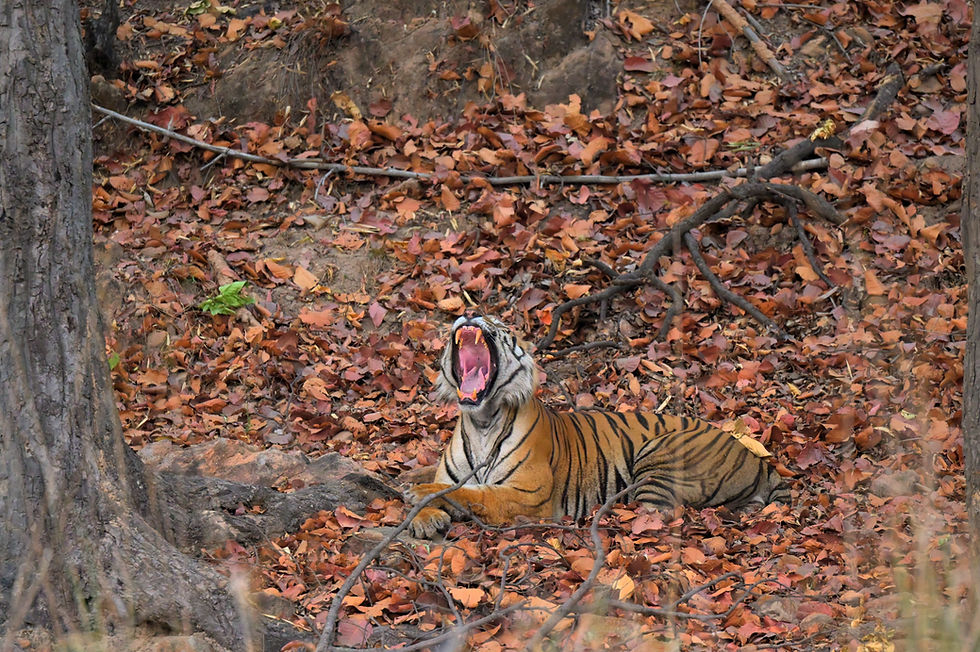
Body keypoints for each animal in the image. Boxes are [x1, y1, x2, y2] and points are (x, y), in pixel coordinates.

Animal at [406, 314, 789, 538]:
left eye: (499, 325)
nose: (470, 314)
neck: (481, 421)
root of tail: (755, 458)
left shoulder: (528, 495)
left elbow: (474, 493)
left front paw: (420, 496)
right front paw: (425, 514)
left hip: (660, 455)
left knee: (655, 513)